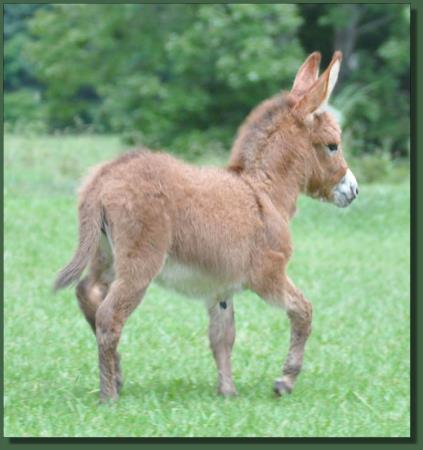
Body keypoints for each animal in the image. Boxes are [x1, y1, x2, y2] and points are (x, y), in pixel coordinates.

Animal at [53, 51, 358, 402]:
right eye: (333, 145)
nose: (354, 190)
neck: (263, 191)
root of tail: (103, 177)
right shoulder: (268, 275)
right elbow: (304, 311)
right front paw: (285, 380)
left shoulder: (220, 289)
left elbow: (222, 337)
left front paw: (227, 391)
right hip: (141, 263)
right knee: (109, 315)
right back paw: (109, 396)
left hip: (106, 255)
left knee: (88, 292)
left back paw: (116, 377)